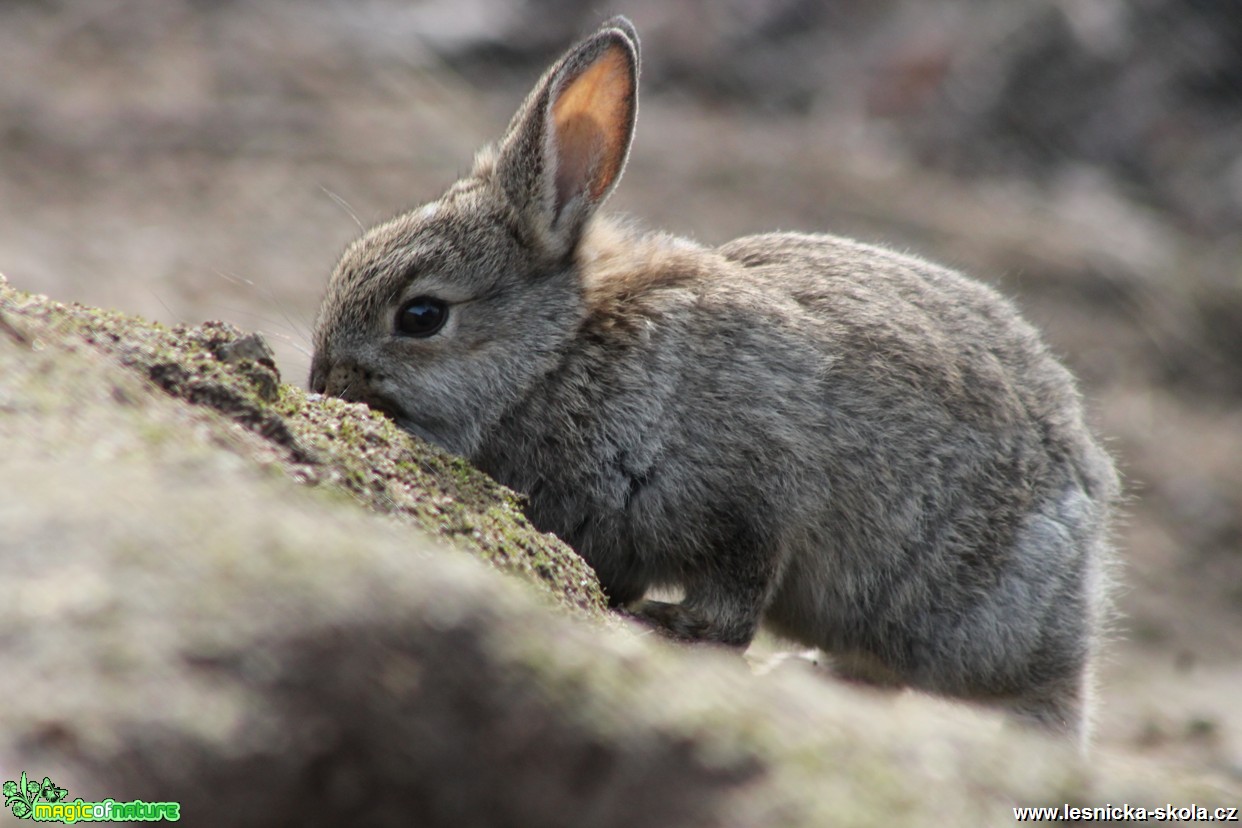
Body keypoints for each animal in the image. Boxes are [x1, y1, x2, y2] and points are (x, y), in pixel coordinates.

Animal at [308, 16, 1117, 739]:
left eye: (421, 315)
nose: (322, 384)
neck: (554, 357)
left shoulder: (749, 501)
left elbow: (733, 602)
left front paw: (671, 624)